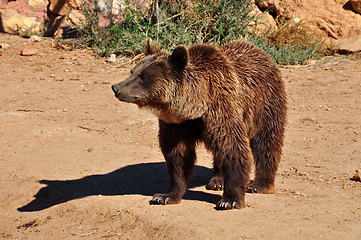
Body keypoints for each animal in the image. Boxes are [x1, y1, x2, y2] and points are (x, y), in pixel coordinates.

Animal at [111, 38, 286, 209]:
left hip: (266, 103)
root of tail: (259, 51)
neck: (195, 106)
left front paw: (230, 200)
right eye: (132, 71)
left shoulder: (221, 111)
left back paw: (259, 184)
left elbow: (232, 148)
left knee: (266, 142)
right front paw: (165, 196)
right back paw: (217, 180)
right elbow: (178, 157)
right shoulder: (177, 124)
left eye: (143, 76)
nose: (115, 87)